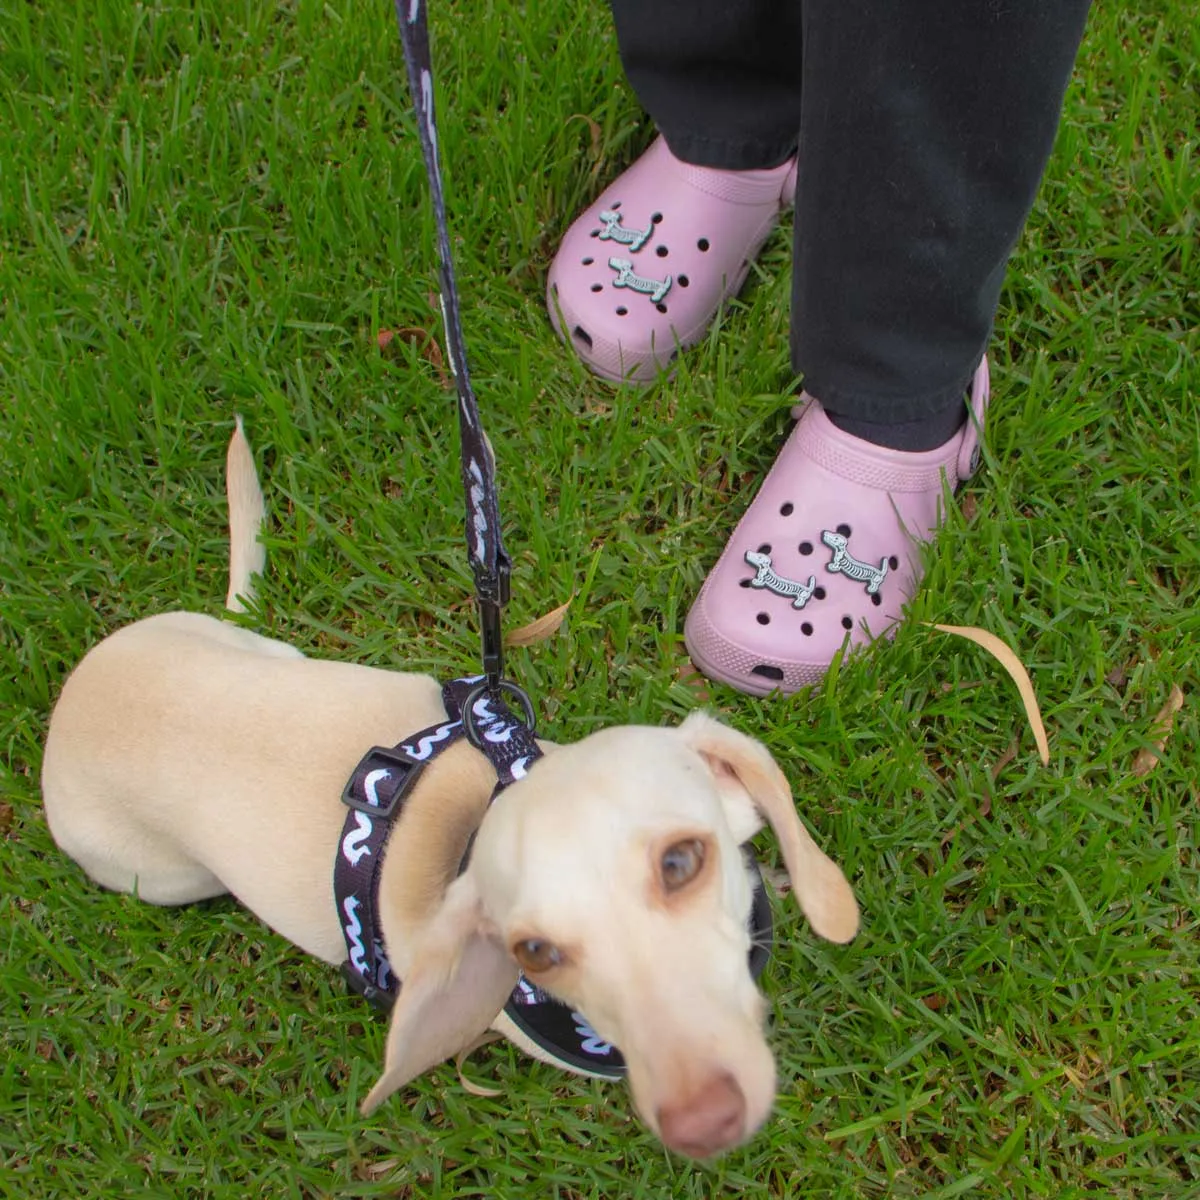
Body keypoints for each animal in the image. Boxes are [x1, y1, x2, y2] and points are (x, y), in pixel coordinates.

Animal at [39, 424, 864, 1161]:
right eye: (533, 953)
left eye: (681, 863)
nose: (702, 1126)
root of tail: (74, 695)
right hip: (162, 878)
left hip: (268, 653)